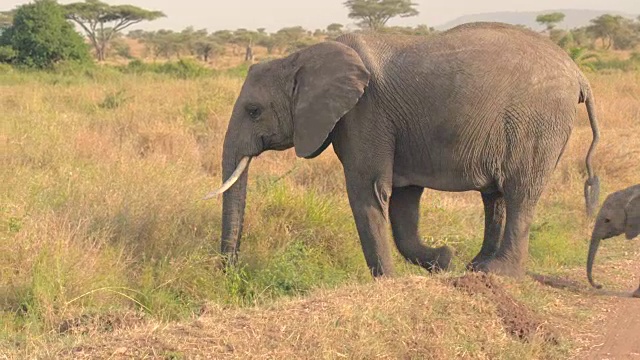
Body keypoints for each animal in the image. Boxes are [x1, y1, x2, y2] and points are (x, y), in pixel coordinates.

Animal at [205, 21, 600, 278]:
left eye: (253, 111)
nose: (229, 272)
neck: (300, 56)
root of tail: (580, 73)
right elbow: (403, 201)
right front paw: (442, 260)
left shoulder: (366, 112)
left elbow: (367, 190)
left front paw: (388, 282)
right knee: (496, 195)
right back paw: (476, 267)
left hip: (538, 121)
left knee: (519, 193)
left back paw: (500, 275)